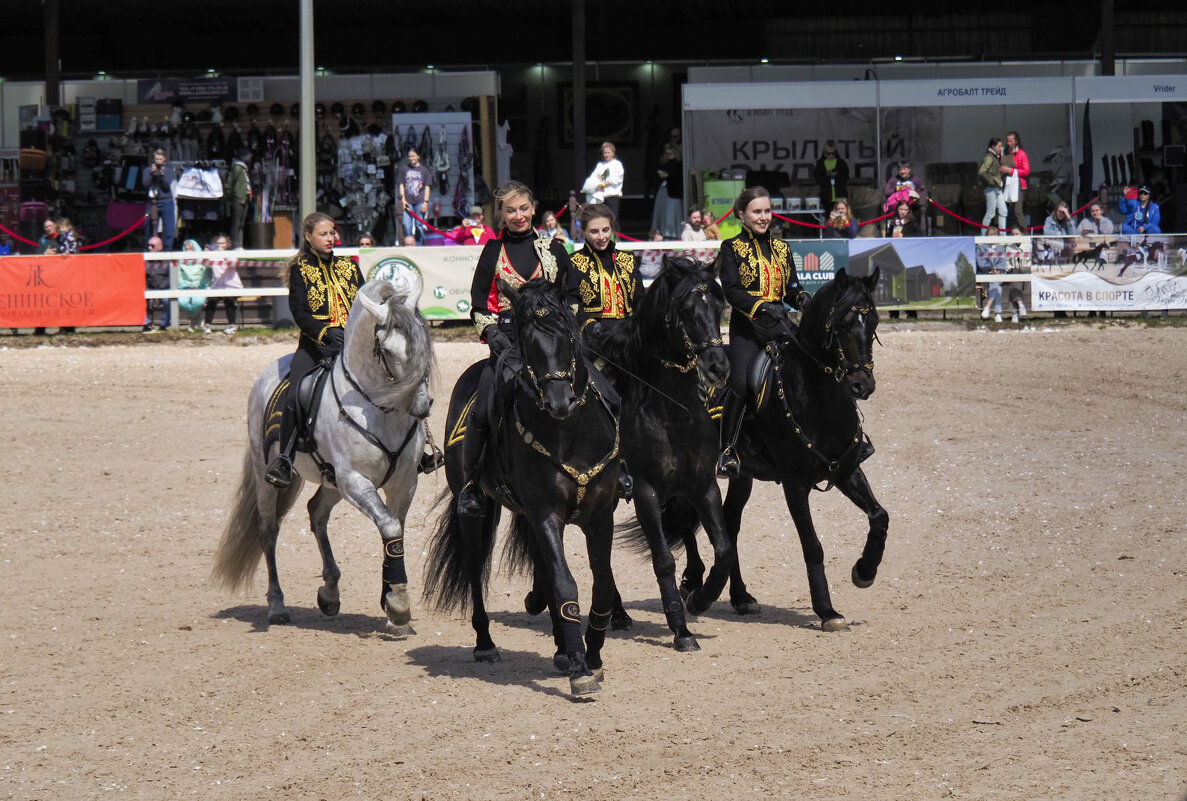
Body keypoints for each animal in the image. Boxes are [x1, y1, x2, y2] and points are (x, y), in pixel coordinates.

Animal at [422, 278, 621, 697]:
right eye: (528, 343)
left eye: (568, 336)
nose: (560, 401)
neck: (570, 434)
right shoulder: (545, 512)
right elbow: (565, 583)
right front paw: (581, 670)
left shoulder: (599, 516)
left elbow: (602, 586)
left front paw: (591, 655)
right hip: (477, 512)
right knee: (474, 567)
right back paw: (486, 644)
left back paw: (560, 645)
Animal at [678, 269, 892, 631]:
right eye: (844, 323)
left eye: (874, 320)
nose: (862, 385)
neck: (817, 397)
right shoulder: (794, 485)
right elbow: (813, 546)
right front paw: (827, 611)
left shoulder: (846, 470)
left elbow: (879, 516)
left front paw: (864, 572)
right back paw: (693, 583)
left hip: (742, 478)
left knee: (730, 526)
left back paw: (740, 597)